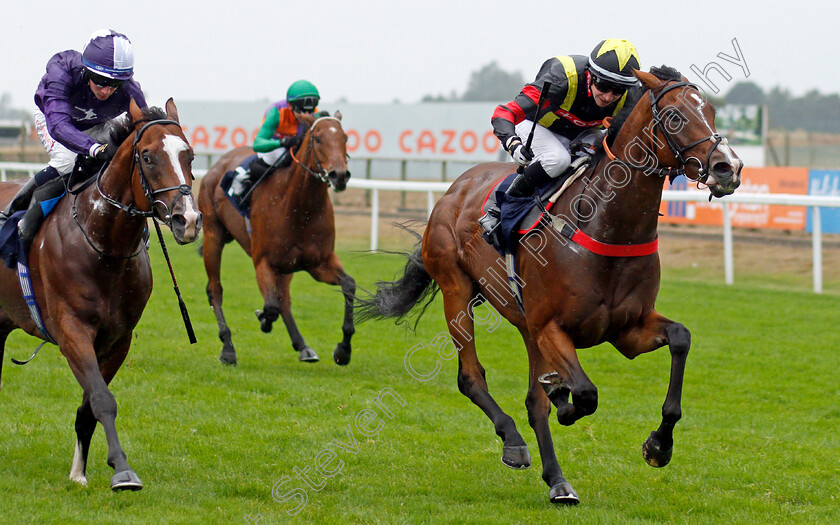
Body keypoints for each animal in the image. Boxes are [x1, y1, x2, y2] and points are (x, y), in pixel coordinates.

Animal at [0, 99, 202, 492]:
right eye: (148, 157)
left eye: (190, 155)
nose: (187, 220)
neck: (103, 245)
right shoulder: (72, 329)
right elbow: (102, 399)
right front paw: (123, 470)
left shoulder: (117, 339)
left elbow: (89, 406)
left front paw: (79, 472)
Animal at [199, 111, 354, 364]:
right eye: (318, 138)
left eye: (346, 138)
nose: (339, 175)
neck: (299, 207)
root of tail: (217, 165)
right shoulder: (263, 261)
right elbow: (271, 307)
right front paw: (262, 318)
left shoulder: (319, 262)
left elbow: (349, 284)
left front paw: (343, 349)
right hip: (213, 236)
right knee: (215, 289)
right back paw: (228, 347)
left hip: (285, 266)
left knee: (284, 299)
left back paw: (302, 346)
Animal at [354, 67, 740, 502]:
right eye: (674, 116)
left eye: (711, 110)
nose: (728, 167)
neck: (608, 228)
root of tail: (455, 189)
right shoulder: (552, 327)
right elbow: (585, 393)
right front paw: (563, 397)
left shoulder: (627, 330)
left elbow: (680, 338)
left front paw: (659, 445)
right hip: (458, 292)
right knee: (471, 377)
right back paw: (515, 442)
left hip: (526, 326)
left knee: (533, 402)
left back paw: (557, 480)